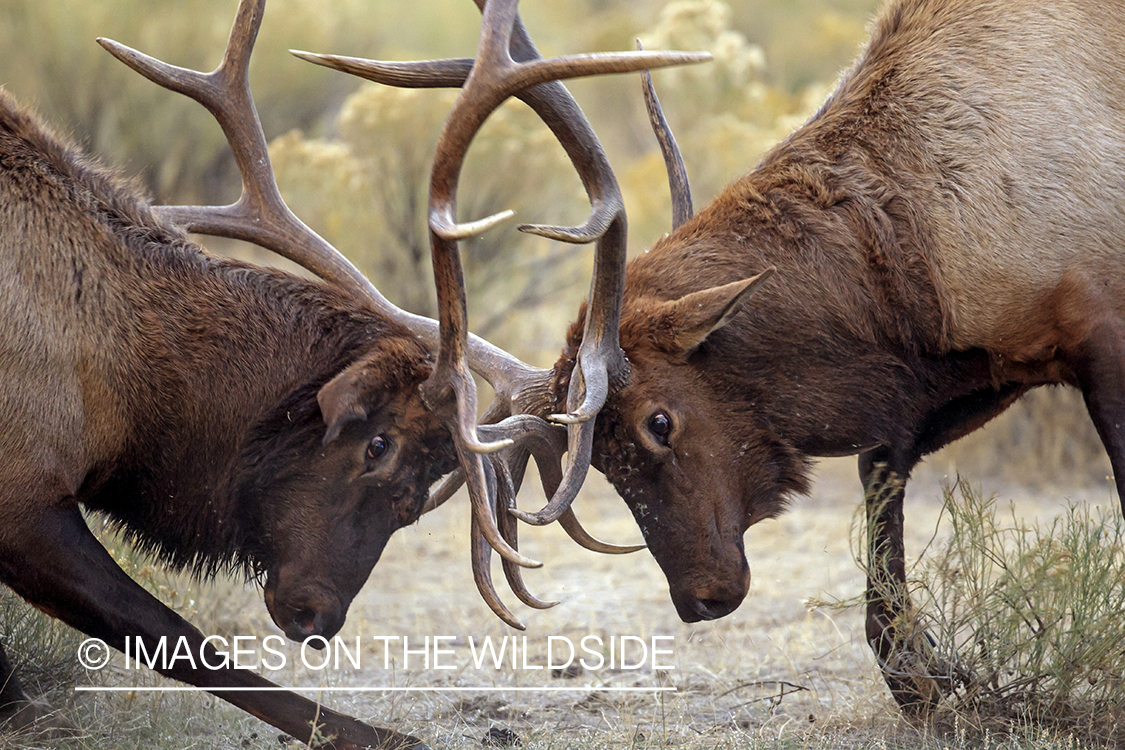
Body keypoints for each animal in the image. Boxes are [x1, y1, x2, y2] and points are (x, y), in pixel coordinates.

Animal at [0, 0, 702, 742]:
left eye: (425, 490)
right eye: (376, 443)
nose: (318, 616)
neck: (123, 383)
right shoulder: (25, 488)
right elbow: (163, 630)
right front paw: (377, 735)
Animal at [517, 0, 1125, 710]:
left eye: (659, 421)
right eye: (600, 459)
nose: (698, 598)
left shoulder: (1097, 332)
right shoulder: (972, 370)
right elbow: (878, 475)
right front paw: (923, 672)